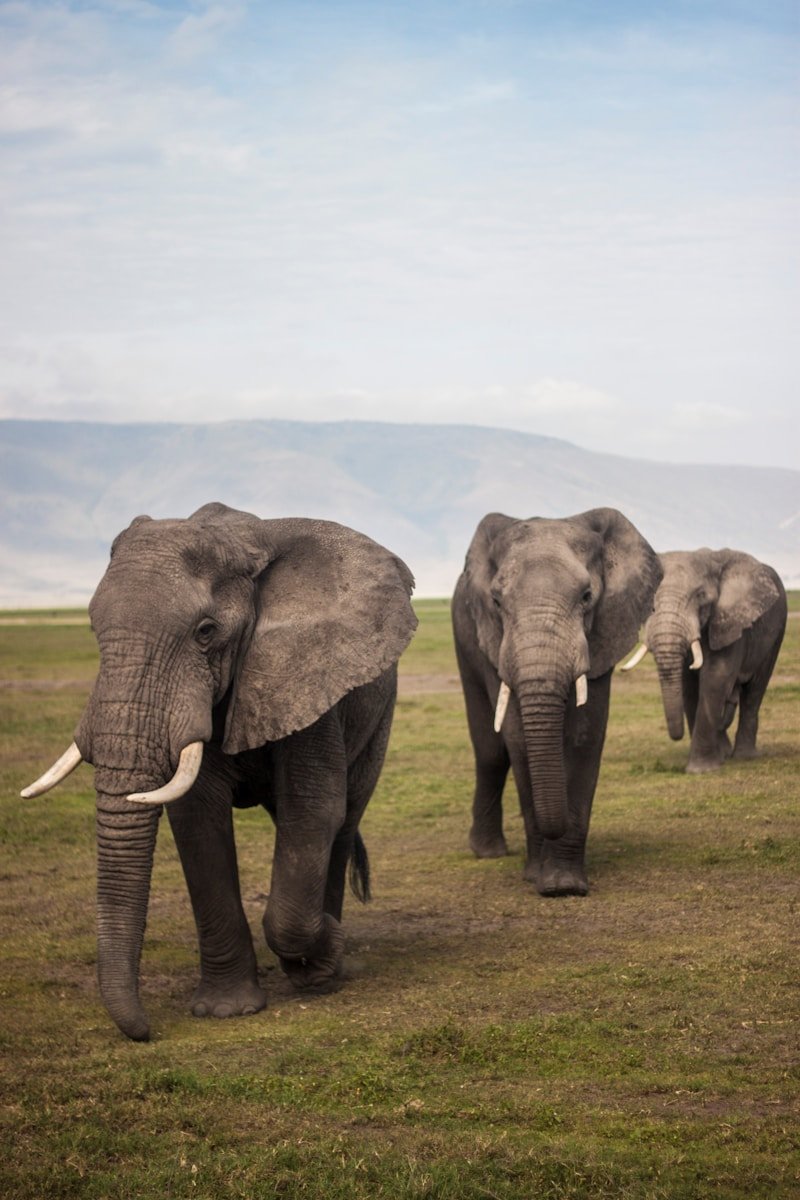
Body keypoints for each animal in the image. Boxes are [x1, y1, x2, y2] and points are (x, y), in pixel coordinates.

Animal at [22, 502, 417, 1041]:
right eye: (92, 628)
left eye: (206, 632)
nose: (146, 1031)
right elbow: (197, 820)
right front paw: (226, 1010)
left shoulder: (306, 674)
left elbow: (313, 810)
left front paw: (324, 956)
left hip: (380, 714)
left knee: (343, 818)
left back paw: (325, 967)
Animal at [452, 507, 662, 897]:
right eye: (496, 602)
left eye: (587, 596)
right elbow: (518, 739)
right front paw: (539, 878)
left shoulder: (603, 632)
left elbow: (584, 736)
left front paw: (564, 885)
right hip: (464, 636)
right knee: (490, 751)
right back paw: (488, 852)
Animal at [621, 547, 786, 772]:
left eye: (700, 596)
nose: (677, 736)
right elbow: (689, 685)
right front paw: (713, 761)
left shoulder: (730, 621)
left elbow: (716, 677)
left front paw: (701, 770)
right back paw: (725, 753)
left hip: (777, 631)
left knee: (755, 689)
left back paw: (744, 756)